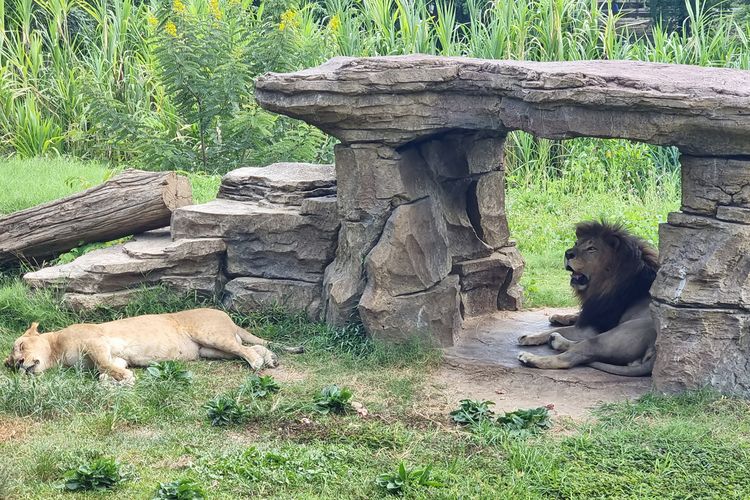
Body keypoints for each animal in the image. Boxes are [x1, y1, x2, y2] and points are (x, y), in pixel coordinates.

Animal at [516, 221, 656, 376]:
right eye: (576, 243)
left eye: (591, 248)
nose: (568, 253)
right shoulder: (590, 313)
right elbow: (576, 316)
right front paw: (559, 317)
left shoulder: (592, 327)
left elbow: (556, 330)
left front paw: (529, 336)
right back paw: (556, 341)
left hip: (610, 336)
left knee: (571, 356)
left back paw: (531, 357)